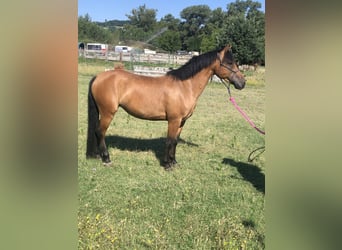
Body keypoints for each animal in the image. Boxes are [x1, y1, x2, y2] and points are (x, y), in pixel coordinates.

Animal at [85, 45, 246, 170]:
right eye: (230, 63)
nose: (242, 83)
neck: (184, 86)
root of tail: (98, 77)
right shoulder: (173, 120)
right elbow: (169, 140)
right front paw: (167, 165)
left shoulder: (181, 121)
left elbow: (174, 141)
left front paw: (174, 162)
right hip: (108, 113)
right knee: (100, 132)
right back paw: (106, 159)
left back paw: (97, 155)